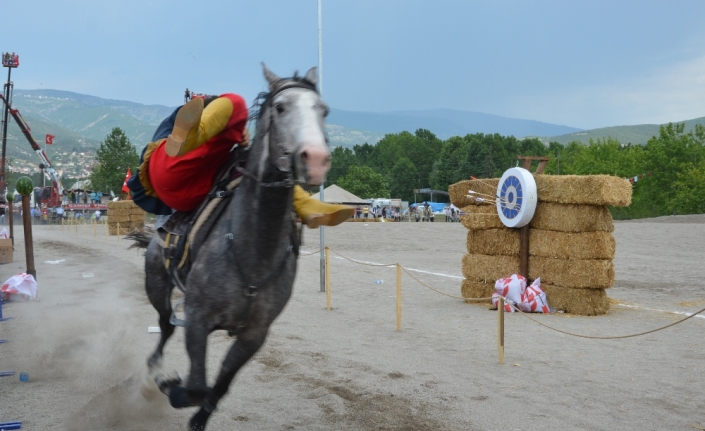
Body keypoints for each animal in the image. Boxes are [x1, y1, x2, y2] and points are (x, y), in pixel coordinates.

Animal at [133, 65, 330, 431]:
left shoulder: (254, 334)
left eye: (323, 111)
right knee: (165, 326)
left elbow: (218, 386)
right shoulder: (198, 319)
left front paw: (198, 418)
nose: (316, 159)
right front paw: (171, 385)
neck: (252, 251)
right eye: (281, 107)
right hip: (156, 282)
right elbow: (196, 386)